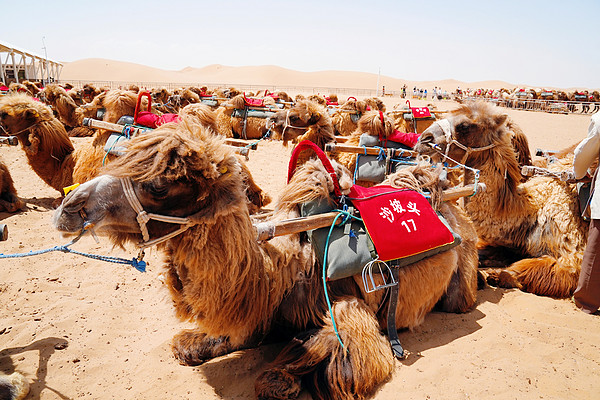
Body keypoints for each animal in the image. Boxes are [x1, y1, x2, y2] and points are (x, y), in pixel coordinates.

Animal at [51, 112, 478, 400]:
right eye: (116, 158)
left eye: (158, 185)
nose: (69, 207)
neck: (288, 267)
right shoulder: (260, 309)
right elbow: (204, 342)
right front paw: (197, 342)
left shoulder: (347, 308)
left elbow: (332, 359)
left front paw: (286, 374)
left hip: (462, 277)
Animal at [414, 101, 584, 298]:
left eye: (464, 125)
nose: (423, 139)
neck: (532, 211)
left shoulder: (571, 255)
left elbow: (523, 271)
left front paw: (496, 276)